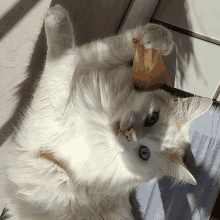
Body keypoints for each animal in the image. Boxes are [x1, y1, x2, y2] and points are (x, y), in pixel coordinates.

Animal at [1, 3, 211, 220]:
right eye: (152, 118)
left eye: (144, 153)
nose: (127, 132)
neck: (106, 114)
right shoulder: (88, 69)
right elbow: (107, 49)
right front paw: (157, 38)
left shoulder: (48, 119)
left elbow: (62, 61)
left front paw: (56, 17)